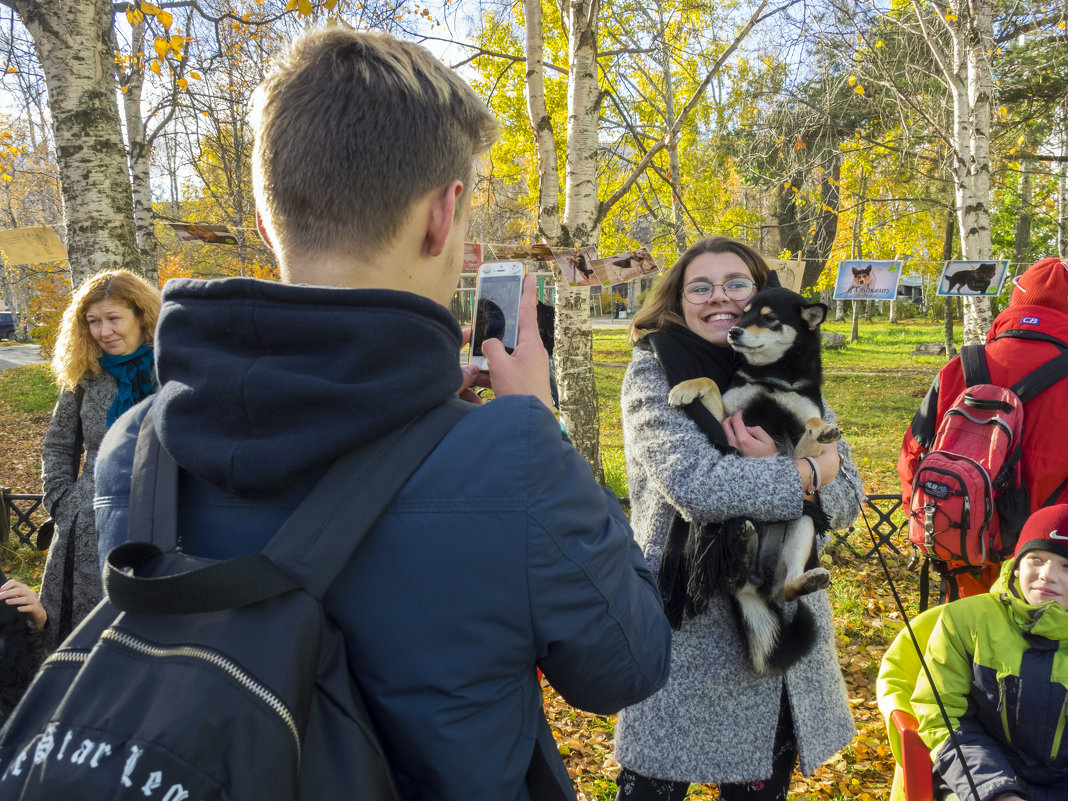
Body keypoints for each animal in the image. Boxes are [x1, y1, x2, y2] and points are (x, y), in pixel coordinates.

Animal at [670, 288, 837, 679]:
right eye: (741, 315)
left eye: (769, 318)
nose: (733, 332)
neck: (772, 378)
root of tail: (755, 587)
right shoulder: (728, 419)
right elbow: (709, 383)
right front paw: (685, 388)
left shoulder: (798, 448)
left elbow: (811, 422)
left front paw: (824, 428)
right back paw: (743, 545)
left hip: (803, 522)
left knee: (787, 589)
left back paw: (803, 579)